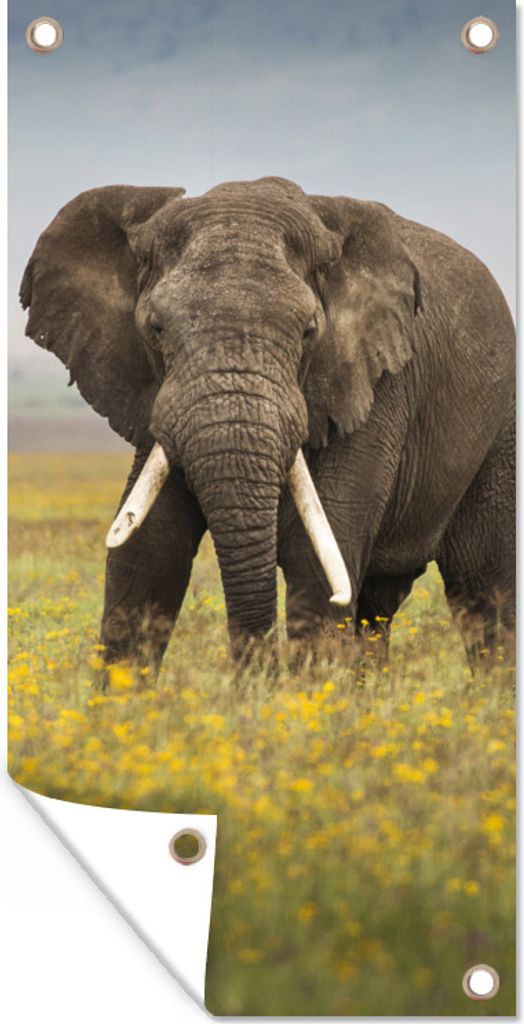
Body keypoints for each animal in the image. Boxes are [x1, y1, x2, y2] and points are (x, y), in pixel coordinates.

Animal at [20, 176, 515, 675]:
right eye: (156, 329)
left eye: (309, 332)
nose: (257, 673)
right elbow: (150, 551)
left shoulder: (377, 386)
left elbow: (315, 555)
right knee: (379, 603)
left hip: (501, 429)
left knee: (485, 589)